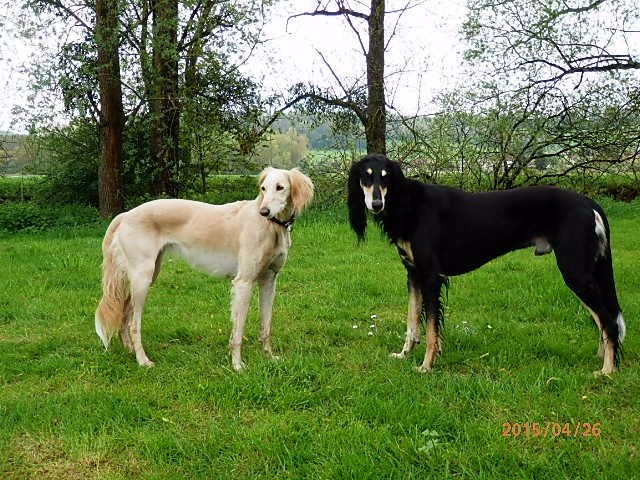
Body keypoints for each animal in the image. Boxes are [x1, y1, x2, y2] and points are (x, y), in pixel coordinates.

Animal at [350, 154, 624, 376]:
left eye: (385, 177)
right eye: (366, 176)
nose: (376, 205)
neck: (408, 203)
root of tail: (589, 203)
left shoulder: (430, 277)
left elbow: (430, 330)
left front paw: (426, 366)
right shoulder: (413, 275)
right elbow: (412, 322)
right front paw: (403, 355)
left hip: (574, 271)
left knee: (609, 321)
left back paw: (607, 370)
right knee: (603, 319)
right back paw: (603, 358)